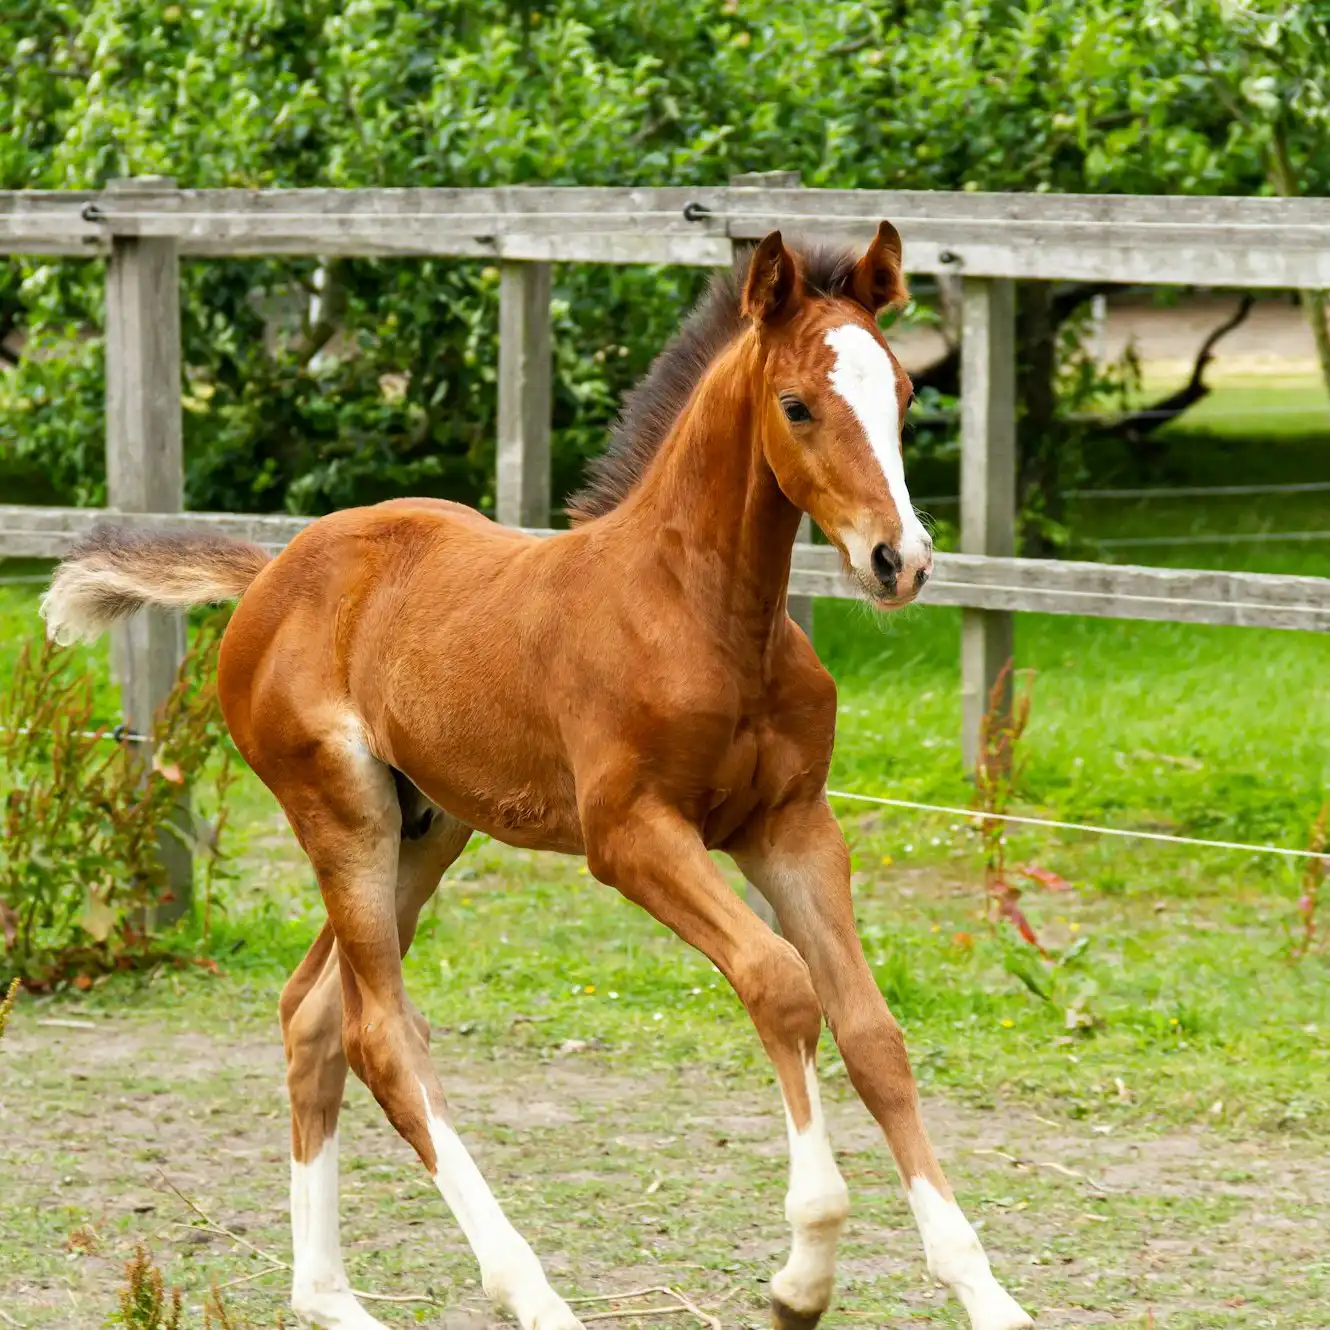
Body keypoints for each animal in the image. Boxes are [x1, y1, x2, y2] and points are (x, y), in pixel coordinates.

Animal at [41, 224, 1032, 1330]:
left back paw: (330, 1297)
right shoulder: (631, 835)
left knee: (314, 1014)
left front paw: (986, 1293)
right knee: (382, 1033)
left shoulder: (793, 826)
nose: (899, 560)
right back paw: (531, 1292)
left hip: (428, 827)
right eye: (797, 405)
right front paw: (800, 1274)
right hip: (341, 813)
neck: (701, 612)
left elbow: (871, 1030)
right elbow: (779, 983)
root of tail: (269, 577)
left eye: (900, 392)